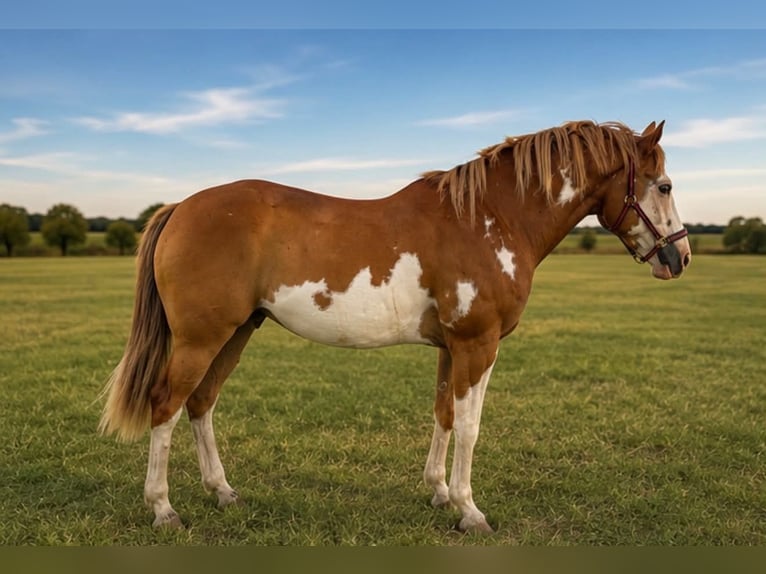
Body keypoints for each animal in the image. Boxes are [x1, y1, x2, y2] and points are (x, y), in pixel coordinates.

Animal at [99, 120, 691, 533]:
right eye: (663, 186)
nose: (679, 257)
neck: (490, 218)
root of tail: (180, 207)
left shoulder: (452, 347)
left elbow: (444, 415)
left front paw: (439, 493)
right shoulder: (478, 345)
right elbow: (471, 427)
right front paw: (470, 511)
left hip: (237, 332)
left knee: (200, 405)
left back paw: (222, 492)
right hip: (201, 338)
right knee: (165, 405)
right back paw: (163, 509)